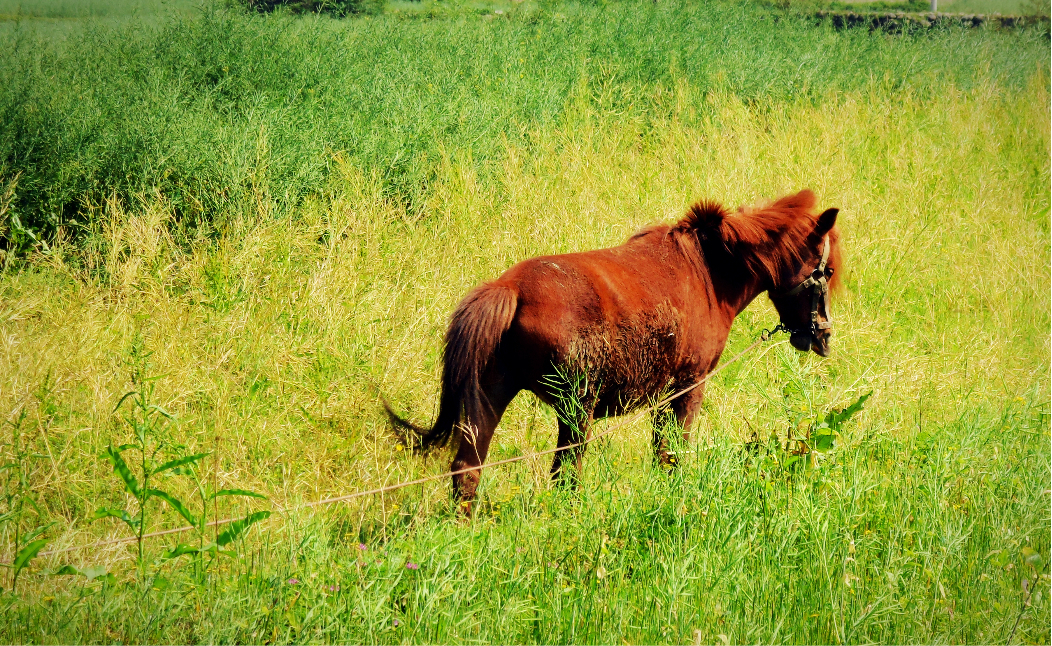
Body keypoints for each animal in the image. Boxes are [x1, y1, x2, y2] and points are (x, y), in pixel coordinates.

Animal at [382, 189, 841, 513]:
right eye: (829, 270)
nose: (823, 336)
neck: (709, 271)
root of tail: (508, 288)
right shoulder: (688, 388)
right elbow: (671, 455)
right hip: (575, 409)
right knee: (564, 473)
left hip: (490, 398)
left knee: (468, 470)